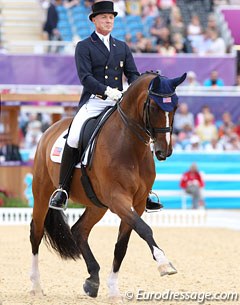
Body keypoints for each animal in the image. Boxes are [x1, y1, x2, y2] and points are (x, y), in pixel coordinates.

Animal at [30, 70, 187, 296]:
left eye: (174, 106)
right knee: (36, 232)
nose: (163, 151)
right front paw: (164, 263)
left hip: (97, 205)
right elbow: (144, 229)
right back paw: (36, 286)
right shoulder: (117, 198)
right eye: (154, 107)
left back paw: (92, 280)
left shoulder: (137, 203)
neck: (130, 147)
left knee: (79, 230)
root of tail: (50, 129)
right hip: (42, 193)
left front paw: (112, 288)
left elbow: (122, 245)